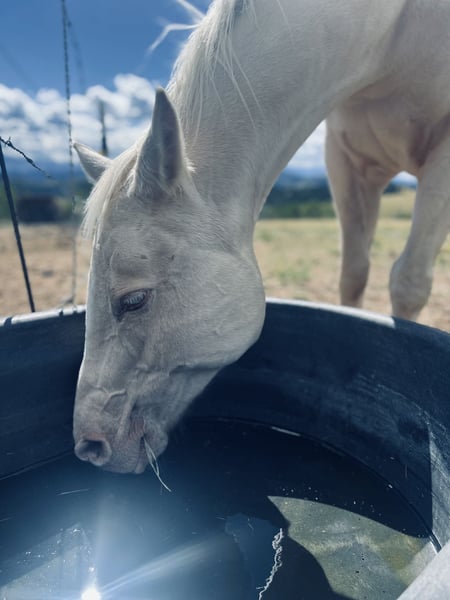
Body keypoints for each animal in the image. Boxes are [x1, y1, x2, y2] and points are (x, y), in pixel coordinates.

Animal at [73, 0, 450, 473]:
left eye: (135, 299)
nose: (89, 447)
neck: (394, 33)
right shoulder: (348, 163)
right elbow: (354, 274)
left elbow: (409, 282)